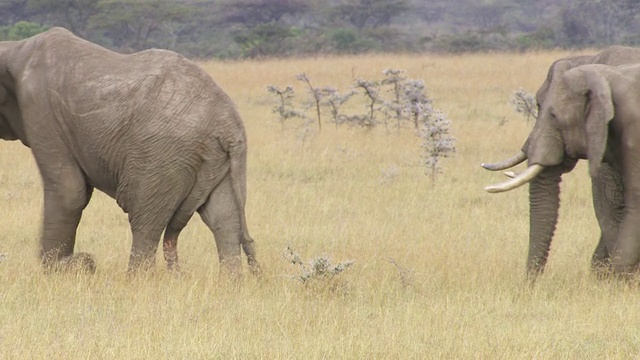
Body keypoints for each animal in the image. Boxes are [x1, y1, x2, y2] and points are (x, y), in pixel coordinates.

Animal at [0, 28, 262, 276]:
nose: (85, 260)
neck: (15, 48)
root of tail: (228, 123)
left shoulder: (40, 107)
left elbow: (69, 190)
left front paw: (65, 269)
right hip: (216, 161)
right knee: (223, 220)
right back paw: (230, 282)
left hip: (162, 156)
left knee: (145, 221)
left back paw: (136, 280)